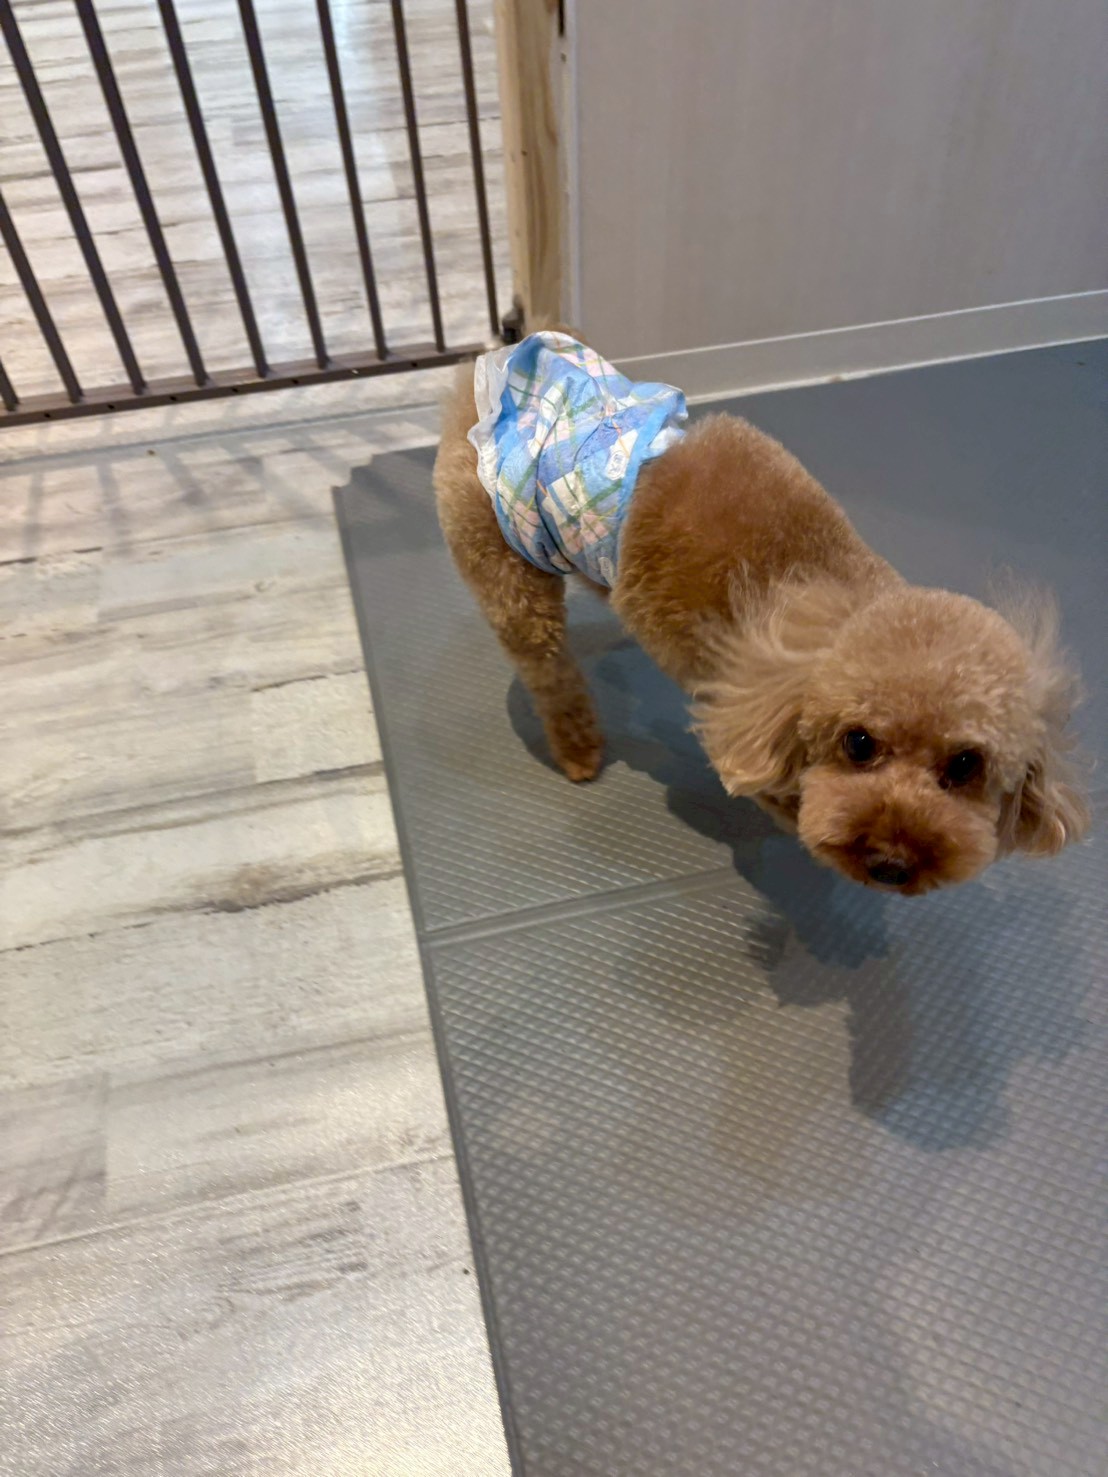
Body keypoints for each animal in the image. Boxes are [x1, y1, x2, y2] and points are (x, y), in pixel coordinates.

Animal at [434, 331, 1088, 894]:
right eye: (858, 743)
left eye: (965, 765)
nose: (892, 863)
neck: (830, 597)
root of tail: (484, 370)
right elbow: (781, 800)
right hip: (507, 568)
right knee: (547, 670)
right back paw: (577, 750)